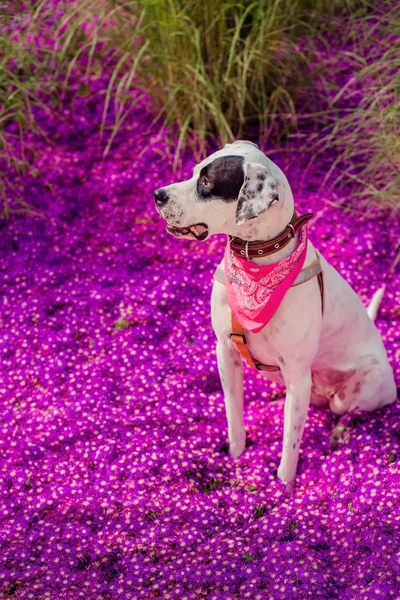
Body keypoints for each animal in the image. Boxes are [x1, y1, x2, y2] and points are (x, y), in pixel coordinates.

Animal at [154, 141, 396, 488]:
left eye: (208, 183)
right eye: (194, 172)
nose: (157, 194)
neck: (255, 262)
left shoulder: (297, 376)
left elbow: (290, 444)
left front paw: (284, 489)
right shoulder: (225, 352)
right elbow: (233, 414)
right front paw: (236, 458)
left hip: (362, 386)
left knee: (349, 412)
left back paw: (339, 434)